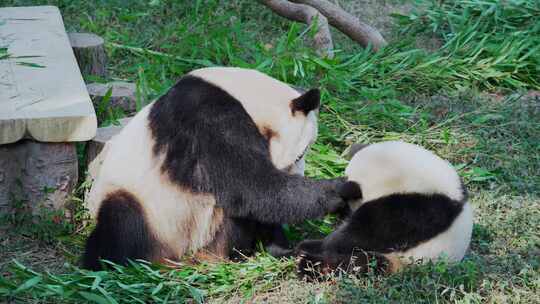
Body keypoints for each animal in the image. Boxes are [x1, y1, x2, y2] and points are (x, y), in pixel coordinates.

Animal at [83, 67, 348, 270]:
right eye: (301, 154)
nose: (299, 174)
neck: (247, 96)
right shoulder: (206, 115)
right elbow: (250, 185)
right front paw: (338, 192)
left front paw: (284, 247)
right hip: (154, 215)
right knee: (120, 222)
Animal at [296, 140, 472, 278]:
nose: (342, 214)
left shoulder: (415, 208)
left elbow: (366, 232)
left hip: (408, 259)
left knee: (360, 263)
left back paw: (307, 259)